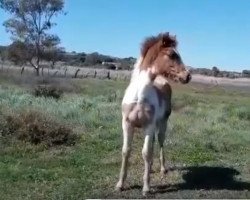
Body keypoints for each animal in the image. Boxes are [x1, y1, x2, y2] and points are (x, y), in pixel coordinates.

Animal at [115, 31, 191, 195]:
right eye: (172, 54)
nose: (188, 76)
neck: (139, 96)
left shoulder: (148, 126)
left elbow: (146, 153)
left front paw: (146, 188)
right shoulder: (127, 124)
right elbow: (126, 151)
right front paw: (120, 184)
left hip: (162, 124)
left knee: (160, 142)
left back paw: (162, 169)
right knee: (153, 144)